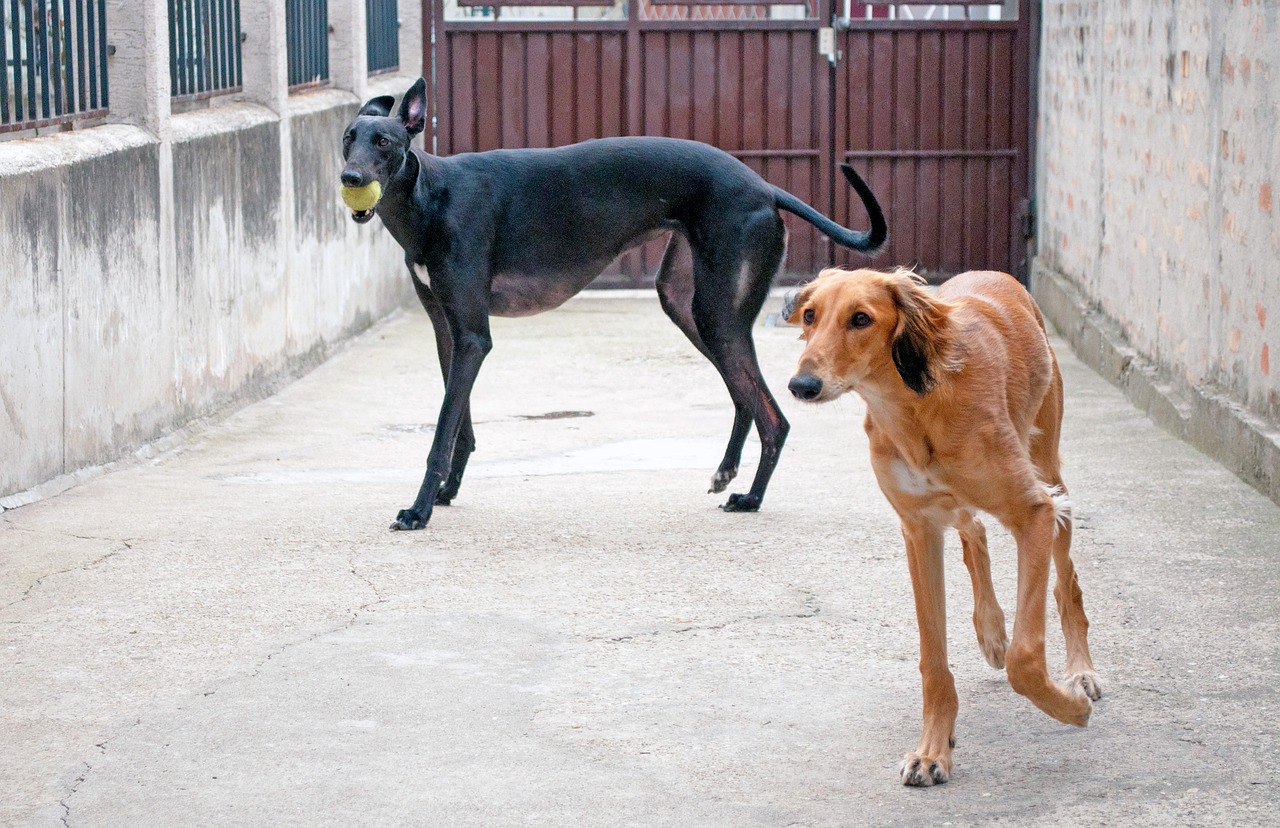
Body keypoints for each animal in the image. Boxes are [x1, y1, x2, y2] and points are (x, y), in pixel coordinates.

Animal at [340, 79, 885, 532]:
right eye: (348, 137)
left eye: (384, 142)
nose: (350, 178)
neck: (432, 196)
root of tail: (765, 187)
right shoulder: (447, 330)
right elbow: (461, 425)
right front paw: (448, 491)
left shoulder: (473, 336)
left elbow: (442, 431)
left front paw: (418, 511)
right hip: (687, 305)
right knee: (745, 396)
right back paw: (728, 475)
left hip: (716, 312)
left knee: (774, 417)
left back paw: (751, 498)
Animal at [783, 268, 1105, 788]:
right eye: (810, 315)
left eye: (861, 319)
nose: (802, 384)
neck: (916, 403)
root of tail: (994, 273)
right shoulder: (918, 529)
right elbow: (933, 660)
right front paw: (933, 750)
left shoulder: (1035, 511)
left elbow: (1024, 658)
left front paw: (1071, 707)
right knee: (973, 531)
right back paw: (990, 629)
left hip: (1050, 475)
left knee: (1065, 583)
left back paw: (1080, 673)